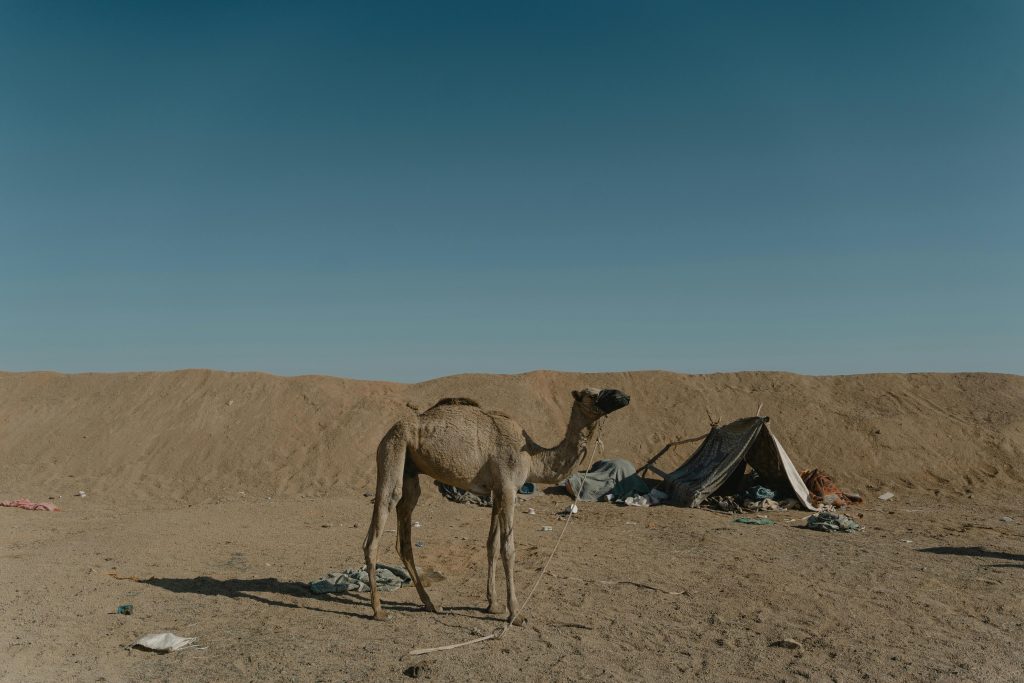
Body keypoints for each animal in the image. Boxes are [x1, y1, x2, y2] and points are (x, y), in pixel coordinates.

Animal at [362, 387, 631, 623]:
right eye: (592, 394)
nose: (625, 397)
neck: (532, 456)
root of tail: (389, 431)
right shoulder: (509, 488)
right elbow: (508, 549)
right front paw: (516, 614)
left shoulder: (497, 490)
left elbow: (491, 544)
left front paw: (493, 604)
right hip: (393, 449)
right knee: (377, 527)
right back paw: (379, 610)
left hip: (410, 468)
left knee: (405, 533)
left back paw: (430, 603)